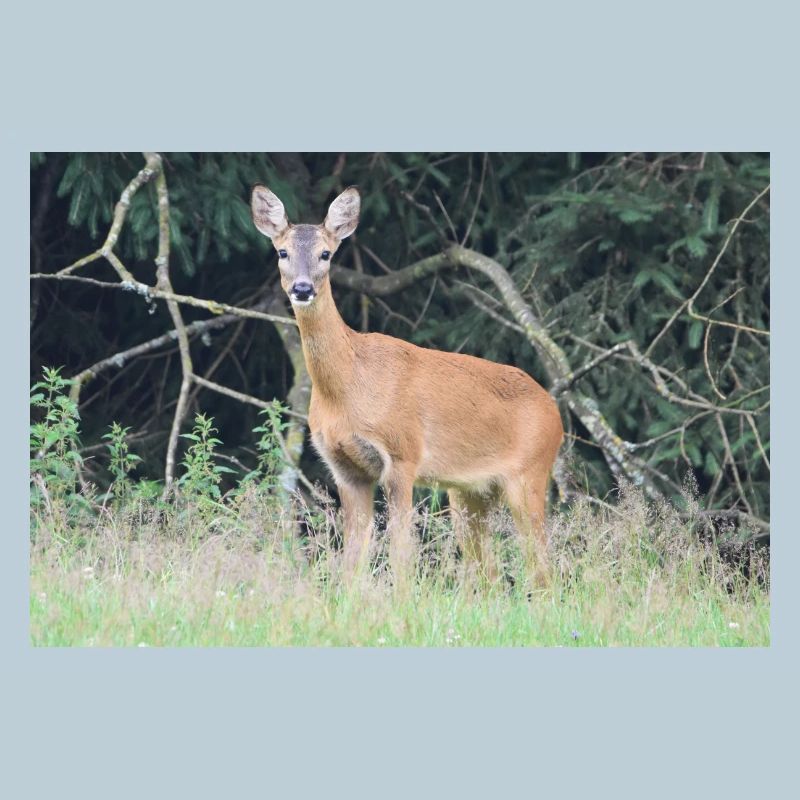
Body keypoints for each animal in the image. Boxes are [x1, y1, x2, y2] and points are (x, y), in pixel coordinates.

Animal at [251, 185, 563, 585]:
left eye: (325, 253)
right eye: (282, 251)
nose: (303, 288)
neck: (348, 390)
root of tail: (555, 412)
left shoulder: (402, 454)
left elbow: (402, 552)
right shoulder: (345, 468)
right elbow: (353, 557)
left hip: (529, 473)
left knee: (541, 567)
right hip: (469, 492)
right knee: (489, 572)